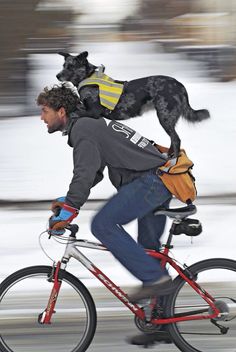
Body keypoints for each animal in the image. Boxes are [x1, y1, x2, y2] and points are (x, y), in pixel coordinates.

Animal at [57, 51, 210, 157]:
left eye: (71, 66)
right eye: (63, 65)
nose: (57, 76)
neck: (87, 78)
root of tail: (180, 85)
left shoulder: (93, 112)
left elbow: (74, 112)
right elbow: (75, 108)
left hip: (164, 117)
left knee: (176, 140)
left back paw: (173, 160)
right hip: (167, 119)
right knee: (173, 139)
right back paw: (168, 155)